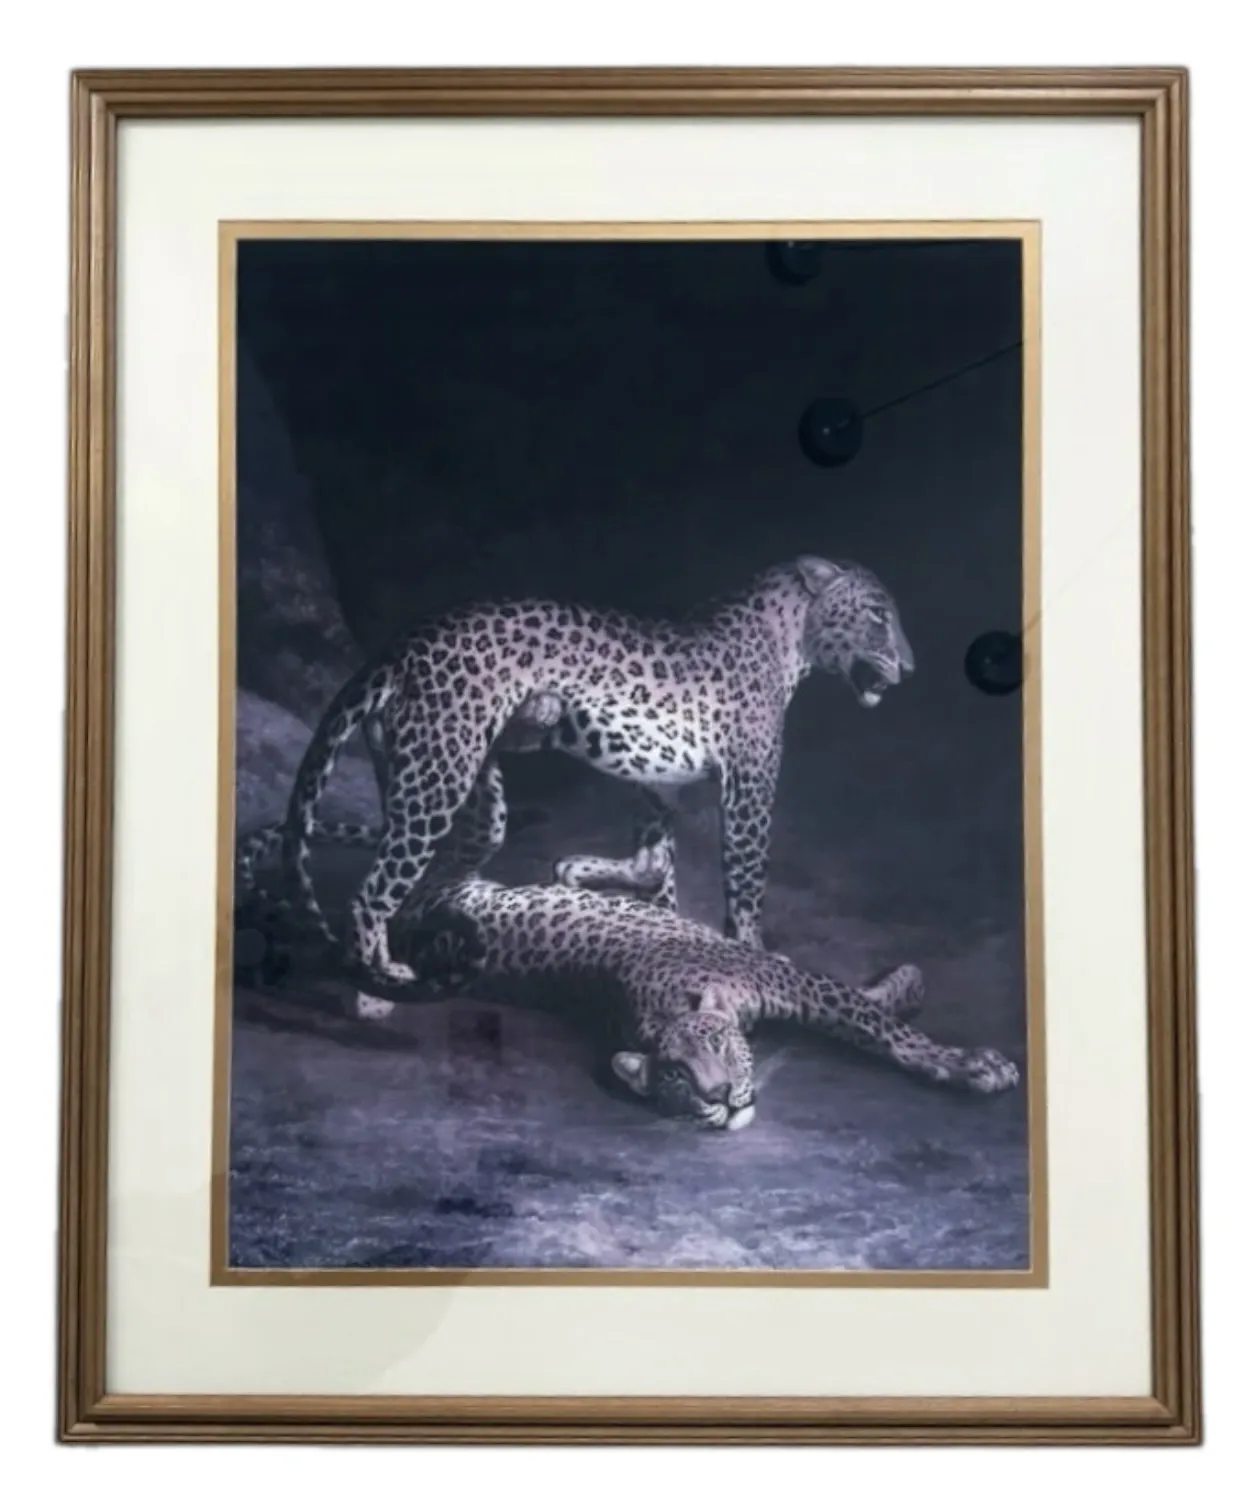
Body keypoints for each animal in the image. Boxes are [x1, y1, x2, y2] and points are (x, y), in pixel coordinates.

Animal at [279, 554, 915, 1015]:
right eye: (878, 614)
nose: (910, 668)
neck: (790, 639)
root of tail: (405, 640)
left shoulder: (658, 777)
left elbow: (657, 863)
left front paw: (619, 891)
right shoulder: (750, 784)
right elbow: (746, 882)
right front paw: (755, 954)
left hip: (462, 793)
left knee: (428, 880)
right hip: (439, 774)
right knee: (372, 894)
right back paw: (374, 991)